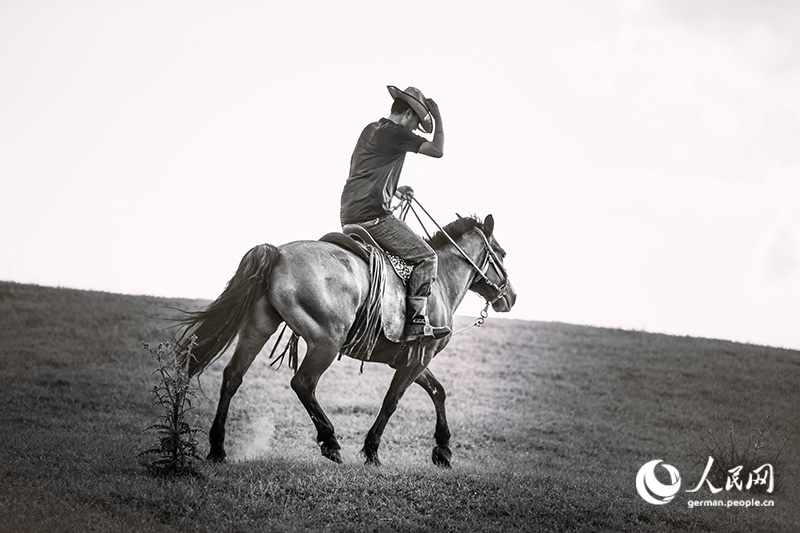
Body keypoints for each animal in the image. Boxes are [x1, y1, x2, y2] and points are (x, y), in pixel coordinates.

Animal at [177, 213, 516, 467]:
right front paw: (372, 451)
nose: (511, 297)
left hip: (258, 328)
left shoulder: (410, 359)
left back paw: (218, 449)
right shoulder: (420, 356)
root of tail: (279, 253)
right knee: (303, 383)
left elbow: (438, 392)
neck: (440, 282)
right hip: (325, 341)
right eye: (501, 253)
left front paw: (443, 451)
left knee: (233, 376)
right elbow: (392, 401)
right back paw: (330, 442)